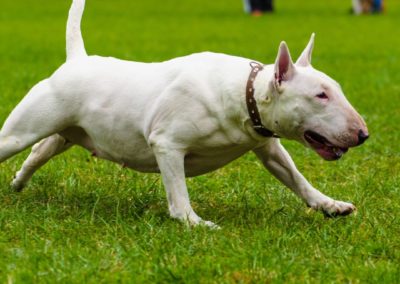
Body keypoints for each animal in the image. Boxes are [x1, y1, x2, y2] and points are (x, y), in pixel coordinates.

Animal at [1, 0, 368, 226]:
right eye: (320, 95)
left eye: (336, 89)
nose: (363, 134)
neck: (244, 94)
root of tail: (78, 59)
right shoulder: (167, 143)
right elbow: (178, 197)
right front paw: (194, 223)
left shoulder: (267, 146)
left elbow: (295, 177)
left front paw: (330, 205)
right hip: (19, 133)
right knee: (19, 143)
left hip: (65, 132)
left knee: (39, 151)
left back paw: (19, 183)